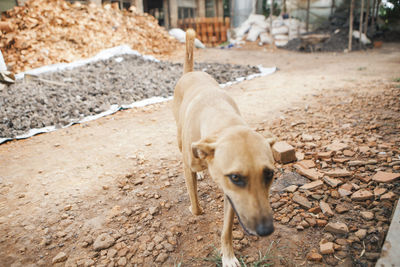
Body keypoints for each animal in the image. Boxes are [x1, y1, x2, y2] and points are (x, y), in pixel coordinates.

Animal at [173, 29, 276, 267]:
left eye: (269, 174)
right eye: (236, 177)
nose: (266, 230)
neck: (222, 118)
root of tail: (190, 73)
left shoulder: (230, 195)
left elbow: (227, 228)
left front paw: (228, 256)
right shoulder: (193, 165)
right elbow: (196, 207)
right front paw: (194, 207)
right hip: (179, 138)